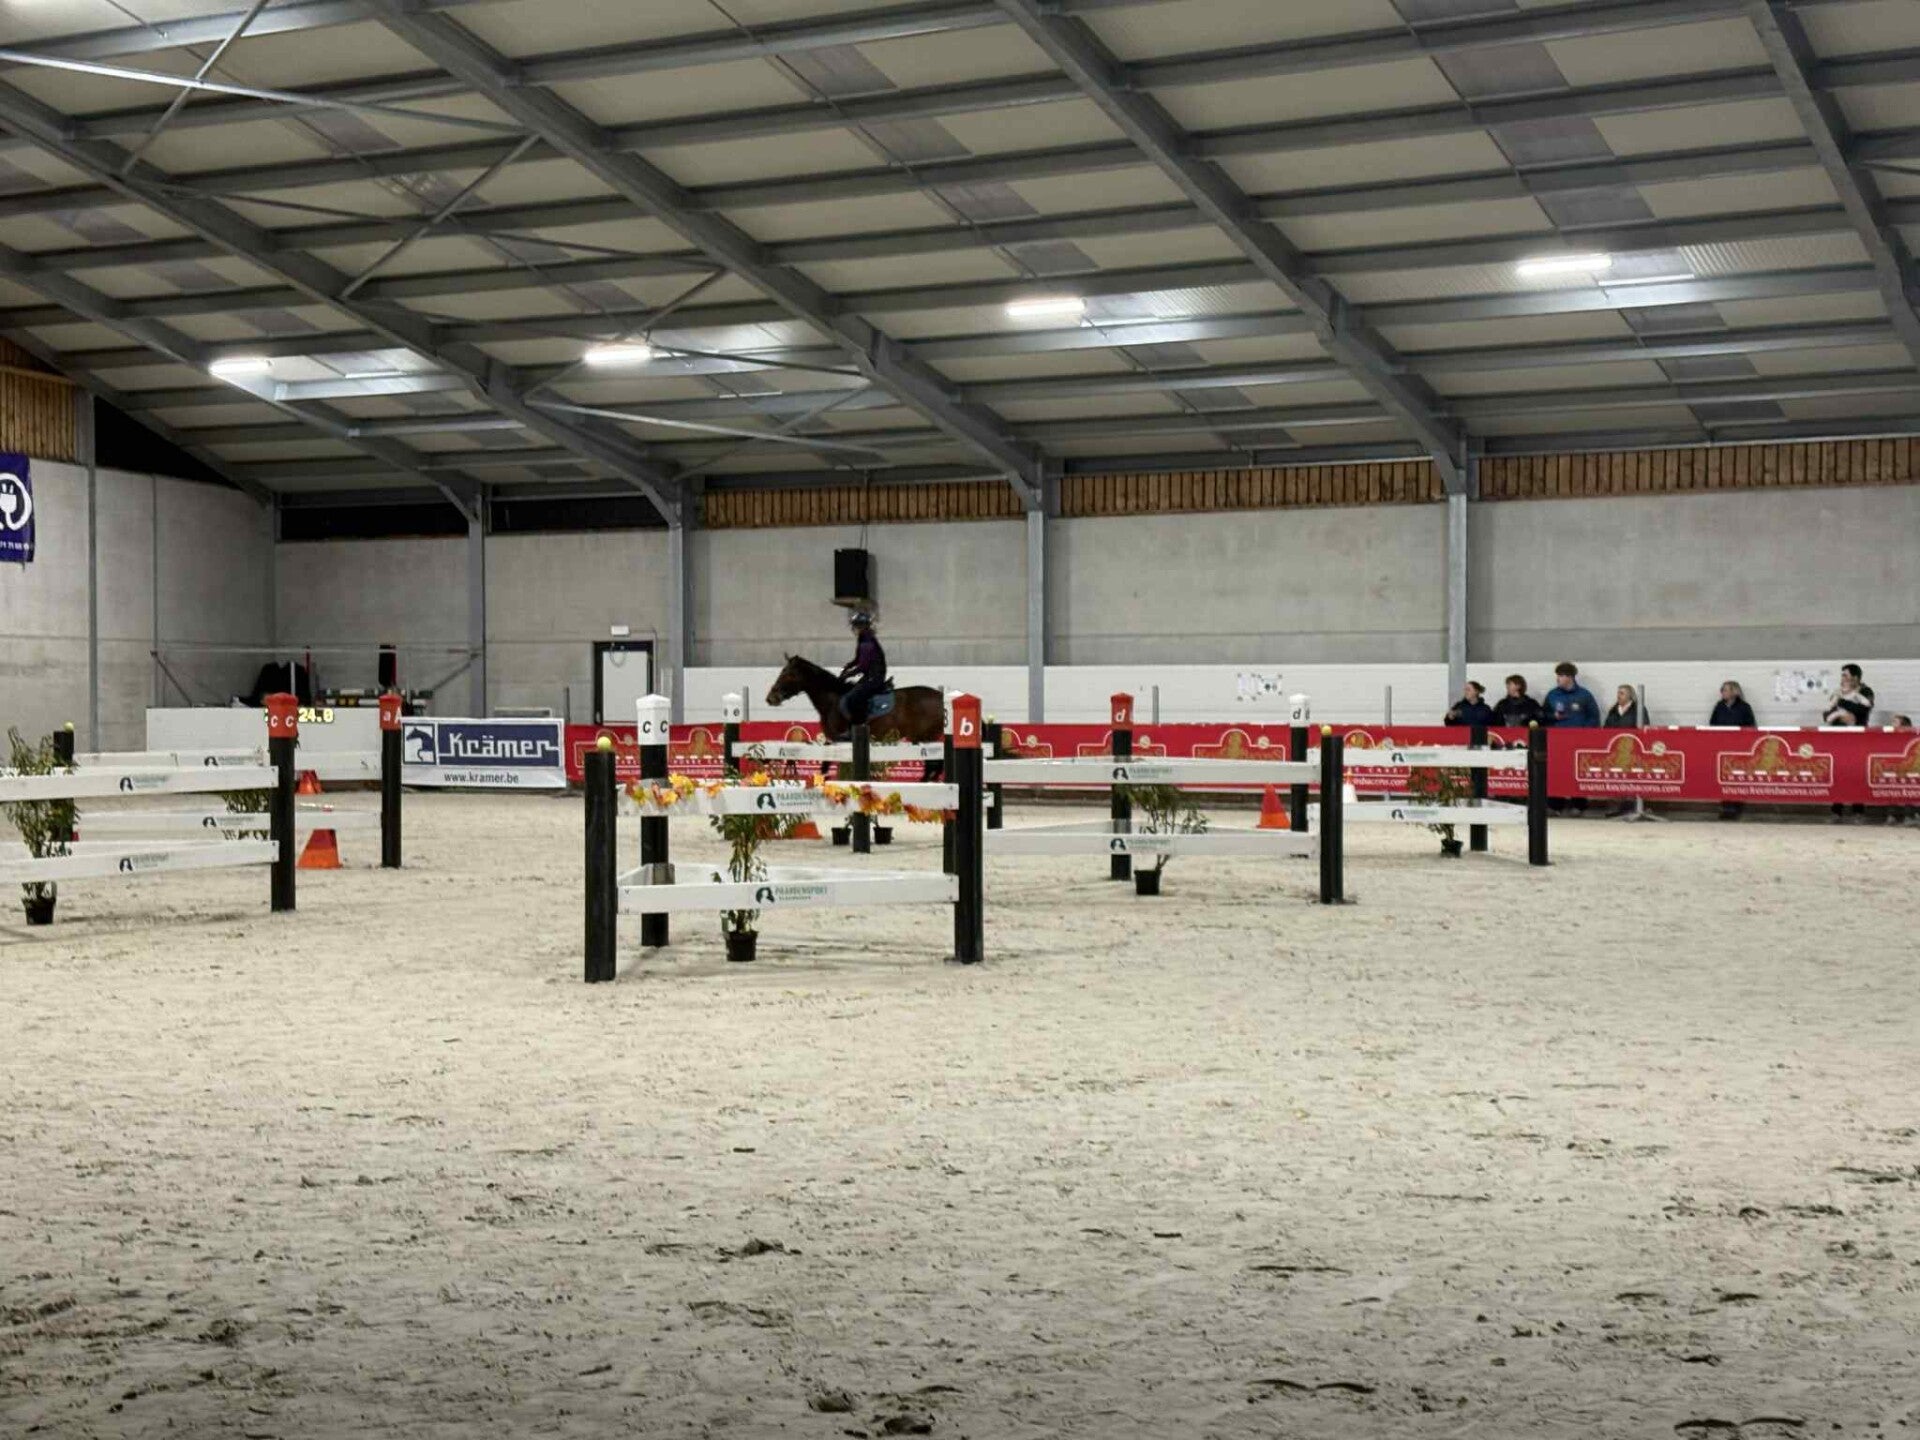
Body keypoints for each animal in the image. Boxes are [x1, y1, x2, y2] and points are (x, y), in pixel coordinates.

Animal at [765, 654, 947, 780]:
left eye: (788, 674)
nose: (770, 698)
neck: (833, 700)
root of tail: (940, 696)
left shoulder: (839, 740)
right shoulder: (831, 740)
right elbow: (825, 767)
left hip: (924, 738)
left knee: (934, 766)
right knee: (935, 766)